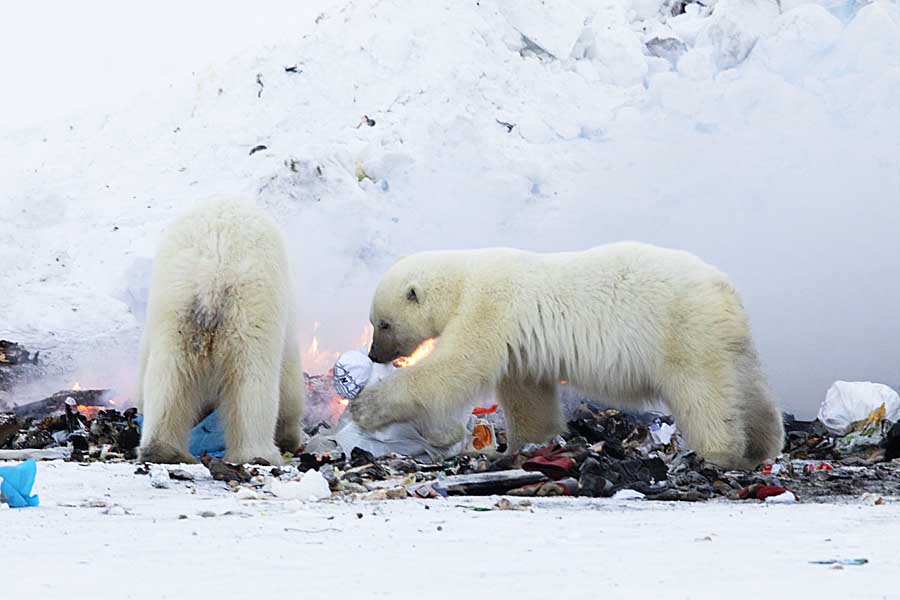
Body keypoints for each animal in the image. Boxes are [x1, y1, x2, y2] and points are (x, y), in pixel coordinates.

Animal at [137, 197, 304, 464]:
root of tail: (213, 269)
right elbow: (290, 386)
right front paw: (290, 437)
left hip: (177, 303)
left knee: (170, 371)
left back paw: (163, 450)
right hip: (250, 306)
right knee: (252, 376)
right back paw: (259, 454)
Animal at [356, 244, 784, 468]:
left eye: (384, 323)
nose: (375, 355)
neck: (463, 280)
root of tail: (723, 289)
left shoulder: (489, 308)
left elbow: (456, 365)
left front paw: (366, 408)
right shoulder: (520, 344)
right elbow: (527, 395)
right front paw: (524, 445)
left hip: (683, 332)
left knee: (703, 394)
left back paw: (719, 452)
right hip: (726, 339)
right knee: (749, 389)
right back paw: (762, 445)